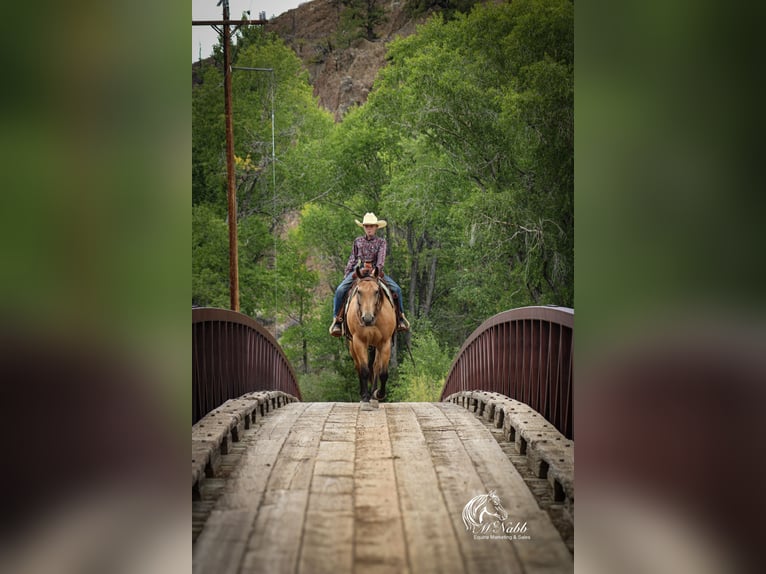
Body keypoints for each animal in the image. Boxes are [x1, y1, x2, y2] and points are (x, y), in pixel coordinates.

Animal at [346, 269, 396, 408]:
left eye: (376, 291)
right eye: (359, 291)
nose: (367, 319)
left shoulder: (385, 343)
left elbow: (382, 373)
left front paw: (378, 394)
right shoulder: (359, 342)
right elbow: (364, 370)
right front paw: (365, 398)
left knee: (375, 366)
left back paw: (373, 395)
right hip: (352, 346)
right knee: (358, 367)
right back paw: (364, 395)